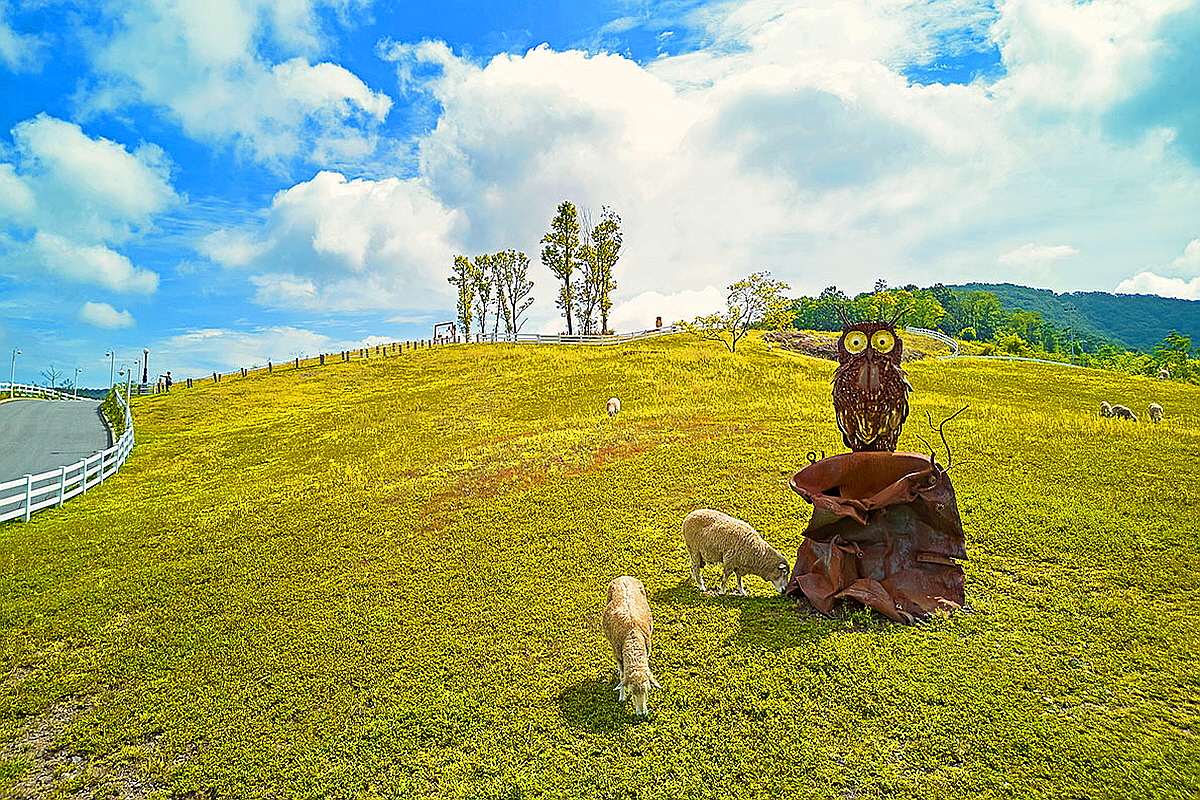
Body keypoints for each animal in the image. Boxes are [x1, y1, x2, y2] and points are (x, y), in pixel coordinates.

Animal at [604, 575, 662, 719]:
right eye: (632, 692)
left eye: (647, 690)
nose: (642, 714)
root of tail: (623, 577)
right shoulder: (618, 656)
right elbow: (622, 676)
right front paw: (622, 696)